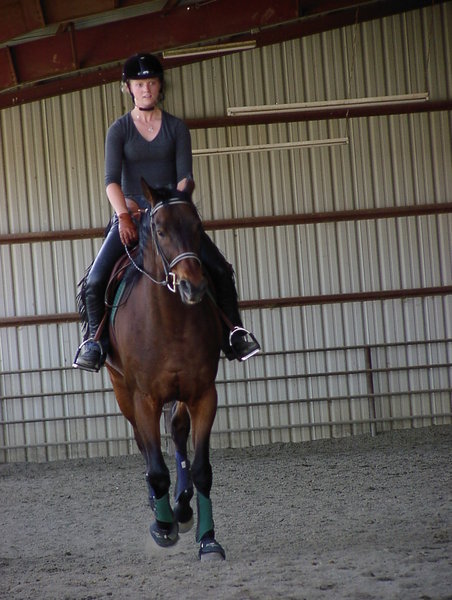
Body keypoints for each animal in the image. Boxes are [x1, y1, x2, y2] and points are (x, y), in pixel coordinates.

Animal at [105, 180, 225, 561]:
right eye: (160, 230)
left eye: (198, 227)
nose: (193, 286)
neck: (170, 323)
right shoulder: (143, 398)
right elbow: (156, 467)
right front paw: (162, 527)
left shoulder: (203, 394)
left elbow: (201, 469)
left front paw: (207, 539)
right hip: (121, 388)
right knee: (144, 444)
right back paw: (160, 507)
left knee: (177, 432)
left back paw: (182, 508)